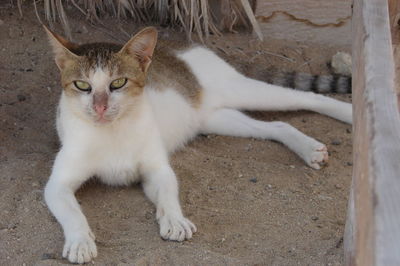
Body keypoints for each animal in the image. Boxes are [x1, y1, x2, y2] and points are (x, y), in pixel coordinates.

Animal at [42, 25, 352, 264]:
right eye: (82, 86)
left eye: (118, 83)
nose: (100, 107)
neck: (112, 131)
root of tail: (179, 45)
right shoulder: (58, 184)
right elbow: (73, 213)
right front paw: (80, 241)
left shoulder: (157, 169)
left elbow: (168, 195)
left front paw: (174, 220)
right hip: (216, 118)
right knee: (277, 126)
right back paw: (309, 148)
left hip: (243, 91)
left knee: (309, 97)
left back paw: (349, 115)